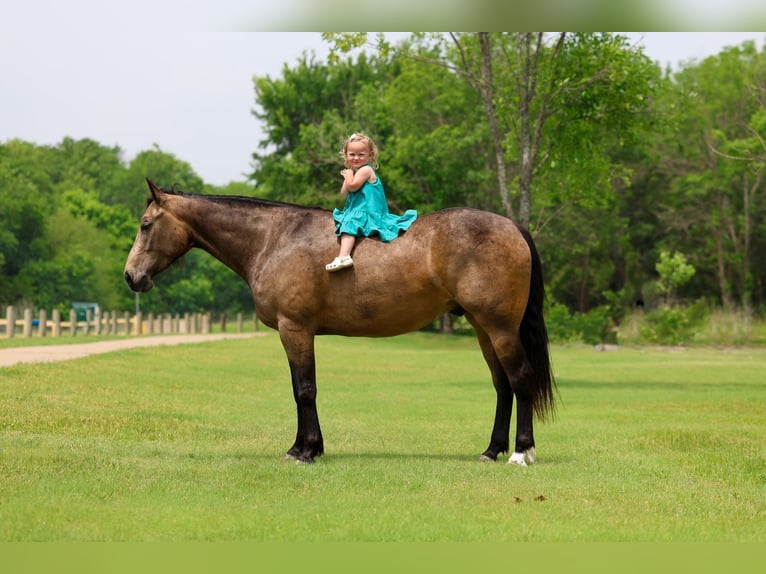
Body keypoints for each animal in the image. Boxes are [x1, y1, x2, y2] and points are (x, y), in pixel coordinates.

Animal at [124, 179, 556, 465]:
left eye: (145, 224)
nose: (131, 277)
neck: (274, 238)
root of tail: (512, 226)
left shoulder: (295, 330)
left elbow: (305, 390)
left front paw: (305, 451)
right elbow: (300, 390)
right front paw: (305, 446)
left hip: (500, 328)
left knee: (520, 379)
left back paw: (521, 452)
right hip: (483, 329)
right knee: (502, 386)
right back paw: (492, 450)